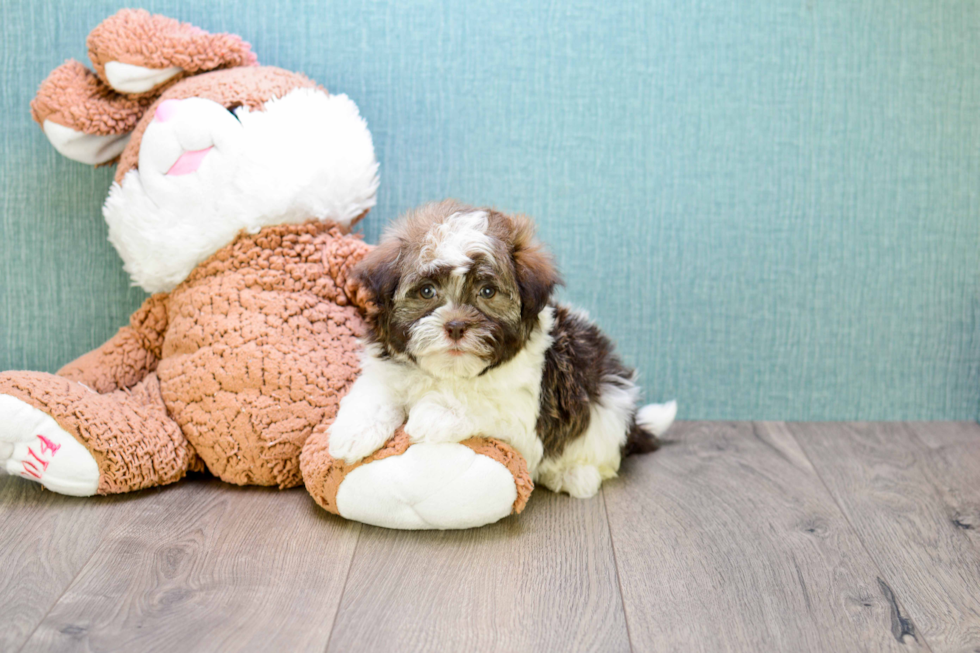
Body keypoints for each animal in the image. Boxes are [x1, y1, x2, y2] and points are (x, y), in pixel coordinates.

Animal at [328, 201, 672, 496]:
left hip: (608, 408)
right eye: (426, 291)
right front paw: (351, 433)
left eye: (487, 291)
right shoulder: (386, 370)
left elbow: (483, 403)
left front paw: (434, 414)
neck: (449, 374)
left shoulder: (524, 415)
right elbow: (374, 394)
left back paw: (574, 475)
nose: (455, 326)